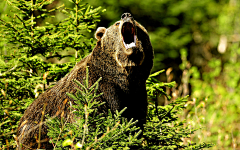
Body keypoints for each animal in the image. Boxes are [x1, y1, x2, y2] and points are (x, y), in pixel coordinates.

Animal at [16, 12, 153, 149]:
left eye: (137, 24)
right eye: (117, 23)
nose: (126, 15)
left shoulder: (137, 93)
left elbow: (135, 123)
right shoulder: (94, 89)